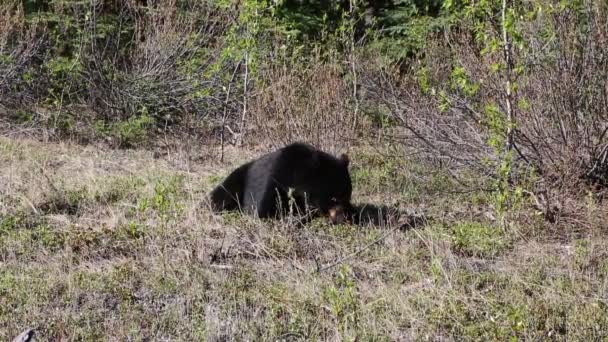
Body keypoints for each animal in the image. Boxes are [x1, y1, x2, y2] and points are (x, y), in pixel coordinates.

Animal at [209, 142, 352, 224]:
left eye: (347, 197)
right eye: (333, 199)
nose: (343, 220)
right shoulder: (275, 177)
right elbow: (262, 210)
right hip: (237, 179)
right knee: (221, 196)